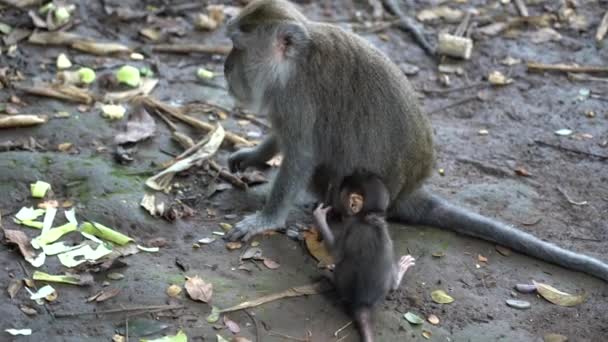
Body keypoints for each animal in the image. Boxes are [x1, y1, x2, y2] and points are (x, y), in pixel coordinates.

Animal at [223, 0, 608, 280]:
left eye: (237, 47)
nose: (225, 67)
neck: (292, 63)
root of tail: (407, 194)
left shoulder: (297, 96)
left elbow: (301, 155)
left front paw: (266, 219)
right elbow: (282, 138)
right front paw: (252, 155)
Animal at [314, 172, 414, 342]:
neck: (370, 216)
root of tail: (363, 303)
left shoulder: (351, 224)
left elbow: (336, 252)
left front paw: (319, 216)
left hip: (345, 285)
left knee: (342, 264)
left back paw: (331, 281)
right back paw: (398, 277)